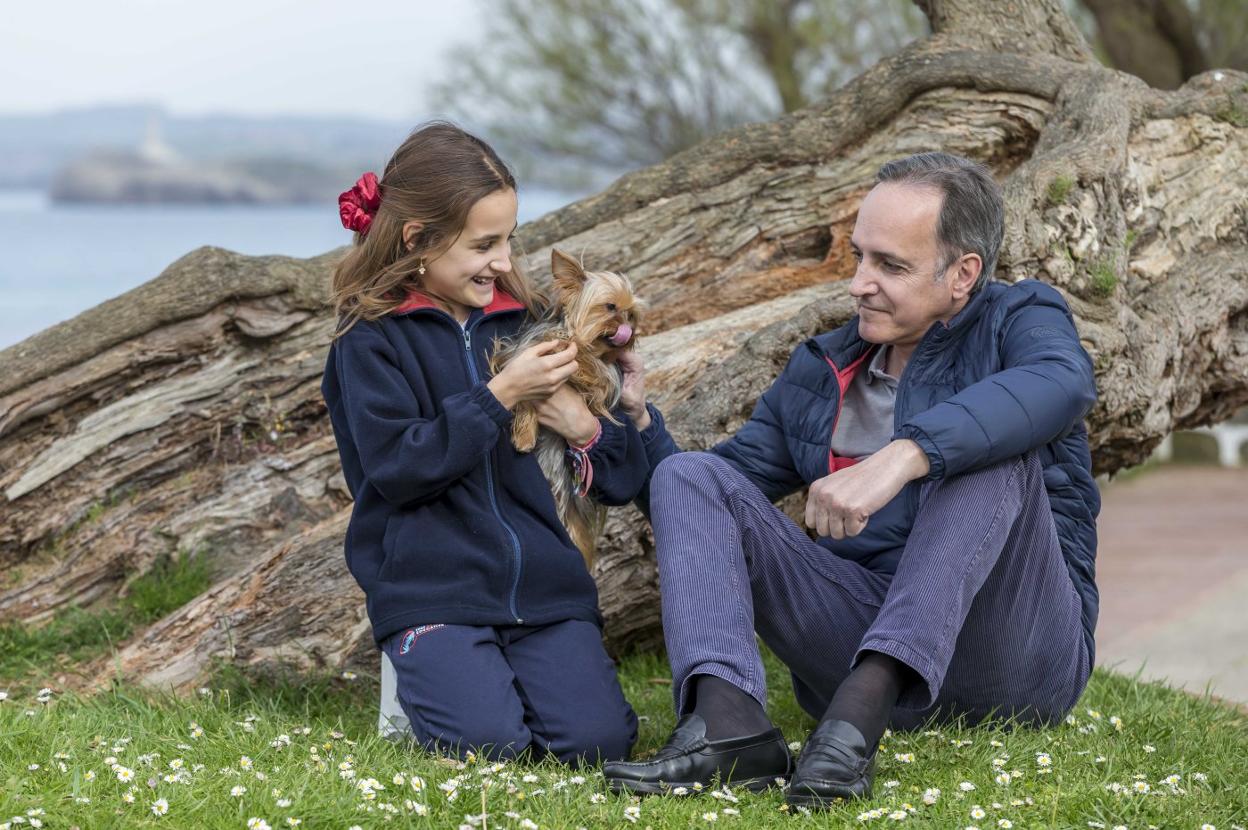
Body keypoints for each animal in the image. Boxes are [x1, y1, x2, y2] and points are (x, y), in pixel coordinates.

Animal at [489, 249, 643, 566]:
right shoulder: (520, 355)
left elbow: (593, 373)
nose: (630, 327)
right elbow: (525, 394)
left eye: (632, 313)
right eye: (611, 307)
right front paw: (524, 436)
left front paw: (576, 357)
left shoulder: (604, 385)